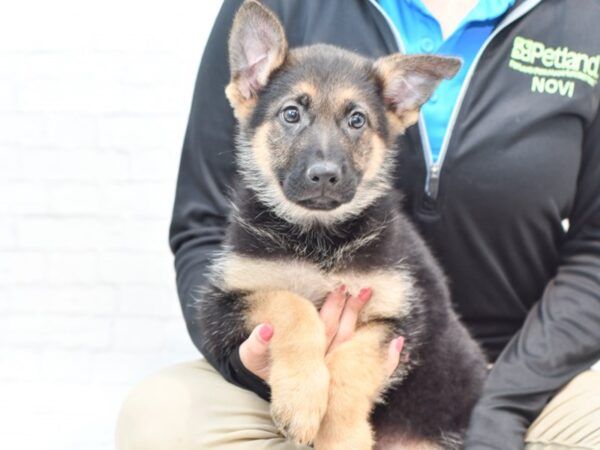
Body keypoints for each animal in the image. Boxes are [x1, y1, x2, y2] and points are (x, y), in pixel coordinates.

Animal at [199, 1, 490, 448]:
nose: (324, 175)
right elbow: (291, 305)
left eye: (357, 120)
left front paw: (339, 434)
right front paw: (302, 398)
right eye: (291, 114)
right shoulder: (225, 303)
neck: (319, 237)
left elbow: (351, 364)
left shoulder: (399, 320)